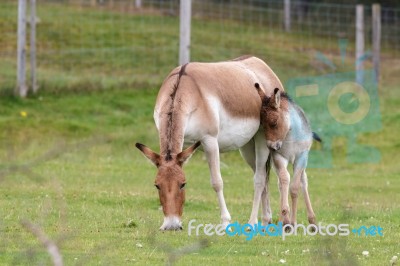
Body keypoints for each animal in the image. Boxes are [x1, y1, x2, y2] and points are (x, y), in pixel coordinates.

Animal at [137, 55, 284, 230]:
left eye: (183, 184)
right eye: (157, 185)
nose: (172, 226)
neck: (184, 88)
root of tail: (261, 64)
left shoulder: (210, 141)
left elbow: (217, 182)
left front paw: (225, 222)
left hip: (262, 139)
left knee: (260, 179)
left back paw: (252, 222)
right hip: (248, 146)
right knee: (263, 177)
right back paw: (266, 220)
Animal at [255, 82, 320, 224]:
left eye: (274, 122)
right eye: (261, 125)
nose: (271, 147)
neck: (290, 137)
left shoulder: (301, 158)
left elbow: (295, 188)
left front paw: (293, 222)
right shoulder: (279, 157)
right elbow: (285, 180)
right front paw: (285, 218)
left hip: (302, 162)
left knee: (303, 182)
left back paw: (312, 221)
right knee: (281, 183)